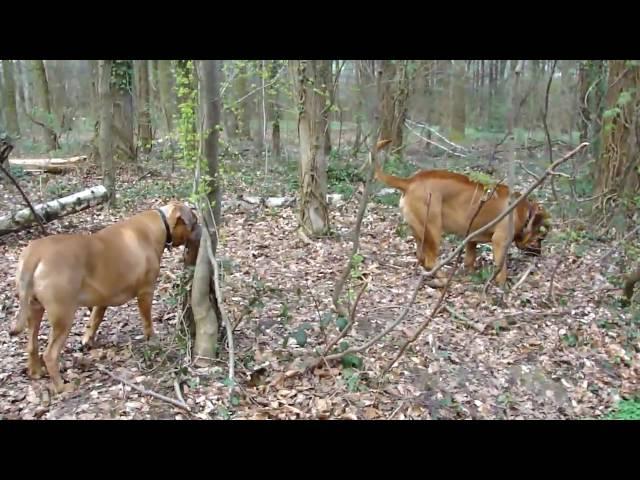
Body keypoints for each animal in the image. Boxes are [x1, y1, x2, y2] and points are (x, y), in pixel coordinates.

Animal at [9, 201, 200, 392]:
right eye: (195, 221)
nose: (201, 231)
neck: (160, 223)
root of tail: (35, 254)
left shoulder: (102, 299)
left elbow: (94, 320)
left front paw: (87, 340)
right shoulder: (145, 292)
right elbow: (147, 322)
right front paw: (152, 340)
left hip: (34, 309)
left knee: (32, 344)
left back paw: (35, 372)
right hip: (63, 316)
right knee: (50, 354)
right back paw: (62, 387)